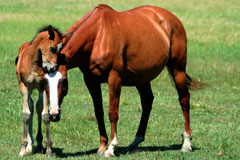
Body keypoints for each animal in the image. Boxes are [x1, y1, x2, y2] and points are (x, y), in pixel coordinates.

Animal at [15, 25, 67, 157]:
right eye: (52, 48)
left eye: (61, 50)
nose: (52, 69)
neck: (33, 62)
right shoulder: (24, 85)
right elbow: (26, 114)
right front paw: (23, 149)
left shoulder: (43, 86)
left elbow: (45, 114)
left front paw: (48, 149)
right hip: (29, 88)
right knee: (31, 106)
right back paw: (29, 145)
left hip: (37, 89)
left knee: (37, 107)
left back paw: (38, 143)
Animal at [58, 4, 202, 157]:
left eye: (63, 81)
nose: (53, 114)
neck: (98, 34)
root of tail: (172, 18)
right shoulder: (90, 80)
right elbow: (99, 112)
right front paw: (102, 146)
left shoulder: (114, 78)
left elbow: (112, 112)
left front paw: (111, 148)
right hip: (142, 77)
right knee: (147, 101)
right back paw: (135, 142)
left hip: (177, 70)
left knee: (184, 99)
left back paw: (186, 143)